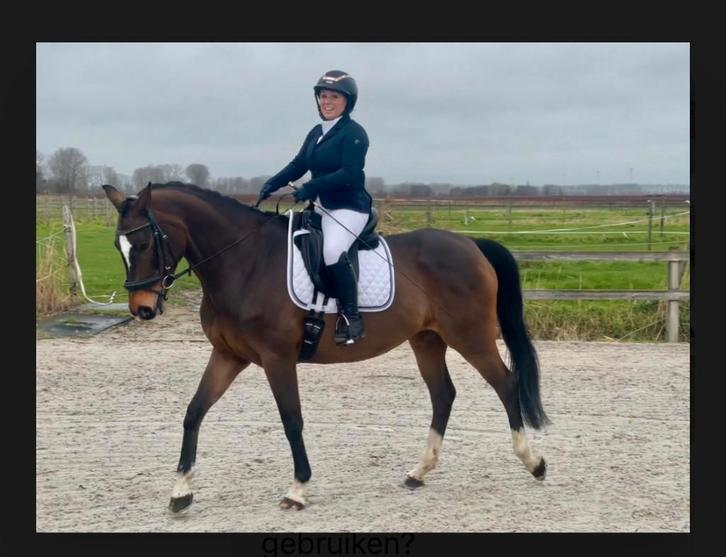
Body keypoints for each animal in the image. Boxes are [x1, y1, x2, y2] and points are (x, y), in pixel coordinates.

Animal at [102, 181, 549, 513]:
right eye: (118, 247)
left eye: (144, 244)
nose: (142, 309)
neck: (244, 262)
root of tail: (471, 244)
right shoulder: (228, 356)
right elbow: (194, 412)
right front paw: (181, 491)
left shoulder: (277, 359)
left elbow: (291, 420)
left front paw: (297, 490)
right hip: (427, 340)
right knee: (444, 395)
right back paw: (418, 472)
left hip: (470, 337)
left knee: (506, 384)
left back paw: (534, 462)